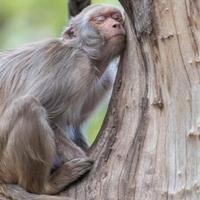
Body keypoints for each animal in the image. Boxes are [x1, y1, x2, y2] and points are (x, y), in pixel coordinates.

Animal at [0, 3, 126, 200]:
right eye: (99, 20)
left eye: (116, 17)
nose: (116, 24)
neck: (87, 55)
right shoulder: (74, 67)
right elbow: (51, 118)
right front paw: (82, 156)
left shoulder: (104, 80)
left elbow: (75, 125)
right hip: (5, 164)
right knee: (28, 106)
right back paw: (45, 186)